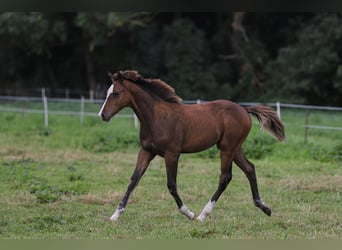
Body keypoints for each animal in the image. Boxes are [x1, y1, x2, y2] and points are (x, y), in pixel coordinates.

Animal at [99, 69, 286, 222]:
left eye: (116, 93)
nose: (103, 115)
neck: (157, 117)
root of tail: (244, 109)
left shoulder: (172, 154)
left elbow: (171, 184)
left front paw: (188, 213)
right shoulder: (146, 151)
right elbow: (134, 180)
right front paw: (115, 215)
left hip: (227, 149)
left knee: (225, 177)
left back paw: (203, 215)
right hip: (235, 148)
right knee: (249, 168)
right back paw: (264, 207)